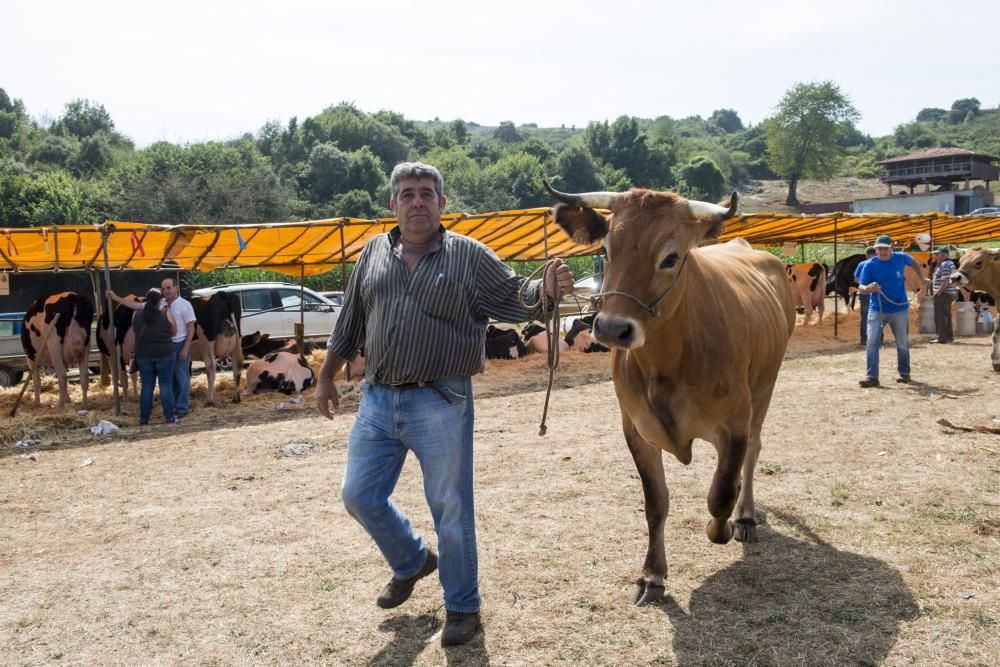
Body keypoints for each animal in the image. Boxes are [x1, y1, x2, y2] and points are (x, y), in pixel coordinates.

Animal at [544, 181, 792, 604]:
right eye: (605, 251)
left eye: (671, 258)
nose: (612, 329)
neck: (669, 363)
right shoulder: (637, 430)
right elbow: (656, 503)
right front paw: (652, 575)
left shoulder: (734, 425)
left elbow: (720, 493)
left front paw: (721, 528)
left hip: (765, 387)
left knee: (754, 452)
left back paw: (744, 516)